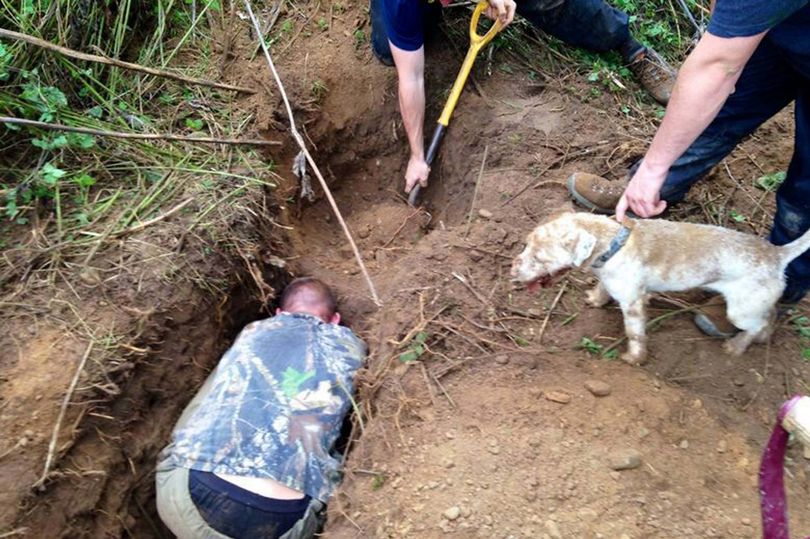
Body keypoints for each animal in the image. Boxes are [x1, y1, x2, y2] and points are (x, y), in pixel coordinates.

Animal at [512, 212, 810, 368]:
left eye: (539, 258)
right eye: (525, 244)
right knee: (771, 315)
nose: (513, 272)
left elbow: (635, 334)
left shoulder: (633, 303)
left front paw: (634, 358)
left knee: (757, 324)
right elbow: (602, 288)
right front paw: (596, 299)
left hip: (741, 309)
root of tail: (777, 254)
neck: (615, 244)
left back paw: (738, 346)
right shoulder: (609, 278)